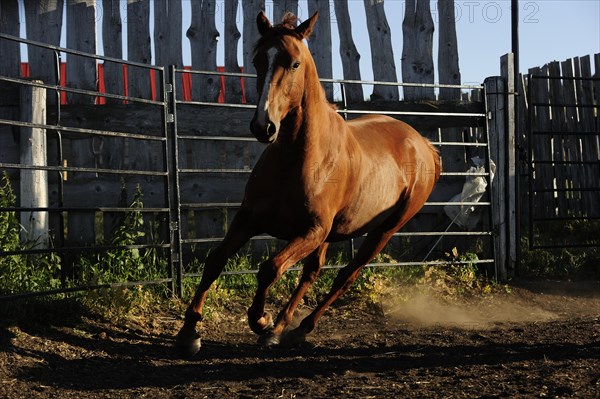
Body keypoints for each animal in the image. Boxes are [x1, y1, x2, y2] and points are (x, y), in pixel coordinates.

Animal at [173, 10, 440, 358]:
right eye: (258, 60)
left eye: (295, 63)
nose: (263, 125)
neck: (297, 159)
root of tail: (424, 146)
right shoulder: (249, 218)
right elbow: (216, 260)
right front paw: (189, 332)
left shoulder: (310, 231)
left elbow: (270, 268)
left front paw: (261, 320)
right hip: (330, 234)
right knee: (313, 272)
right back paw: (284, 328)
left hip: (383, 230)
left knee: (346, 276)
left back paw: (296, 328)